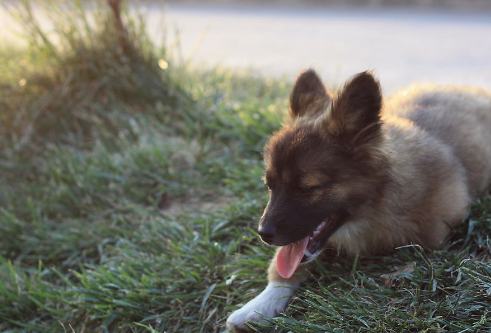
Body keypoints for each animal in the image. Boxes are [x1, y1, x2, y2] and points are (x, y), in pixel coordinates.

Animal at [229, 68, 491, 330]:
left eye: (308, 188)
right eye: (269, 186)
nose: (263, 234)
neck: (374, 206)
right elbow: (282, 268)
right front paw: (258, 305)